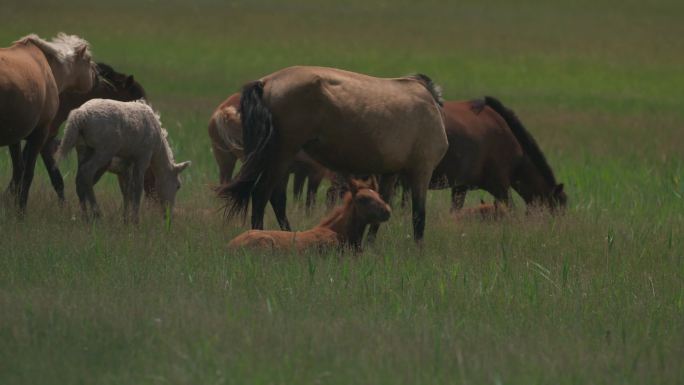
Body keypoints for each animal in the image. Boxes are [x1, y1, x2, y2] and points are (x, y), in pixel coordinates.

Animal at [0, 32, 97, 213]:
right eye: (88, 60)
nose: (95, 76)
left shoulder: (15, 136)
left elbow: (18, 172)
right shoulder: (41, 133)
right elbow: (28, 173)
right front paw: (21, 211)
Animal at [55, 98, 190, 222]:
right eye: (178, 186)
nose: (168, 215)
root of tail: (80, 114)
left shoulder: (128, 162)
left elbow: (128, 190)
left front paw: (126, 219)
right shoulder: (143, 158)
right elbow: (137, 188)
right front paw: (135, 220)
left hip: (83, 149)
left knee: (79, 179)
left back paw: (85, 216)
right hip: (103, 151)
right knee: (87, 173)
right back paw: (96, 213)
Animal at [216, 65, 446, 240]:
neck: (430, 104)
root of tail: (265, 83)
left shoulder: (390, 172)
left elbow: (380, 210)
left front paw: (371, 246)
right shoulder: (422, 170)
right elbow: (419, 216)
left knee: (276, 198)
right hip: (282, 154)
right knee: (262, 194)